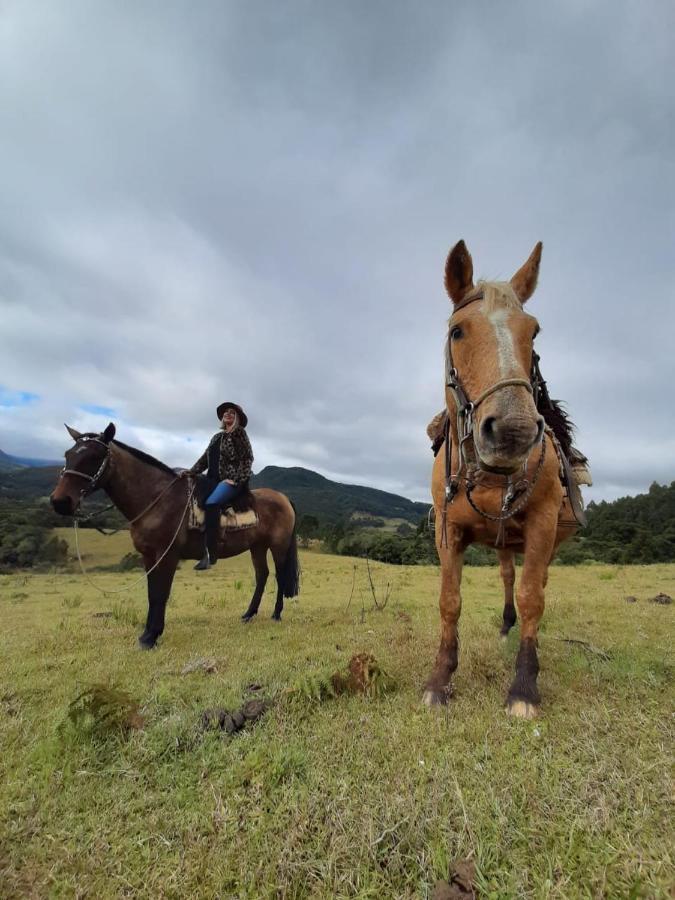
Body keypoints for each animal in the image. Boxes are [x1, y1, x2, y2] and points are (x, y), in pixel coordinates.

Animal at [50, 424, 298, 648]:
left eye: (95, 456)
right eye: (68, 455)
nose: (60, 501)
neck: (157, 499)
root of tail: (283, 498)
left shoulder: (167, 555)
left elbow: (161, 594)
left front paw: (152, 636)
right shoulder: (149, 556)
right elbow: (152, 593)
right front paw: (146, 634)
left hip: (278, 546)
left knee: (279, 576)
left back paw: (276, 614)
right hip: (257, 546)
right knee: (262, 575)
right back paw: (249, 614)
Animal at [426, 239, 580, 716]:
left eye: (533, 332)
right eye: (458, 331)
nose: (513, 431)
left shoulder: (542, 526)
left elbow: (534, 598)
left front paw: (525, 687)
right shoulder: (448, 529)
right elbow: (449, 601)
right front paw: (440, 679)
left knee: (533, 583)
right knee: (509, 577)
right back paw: (505, 625)